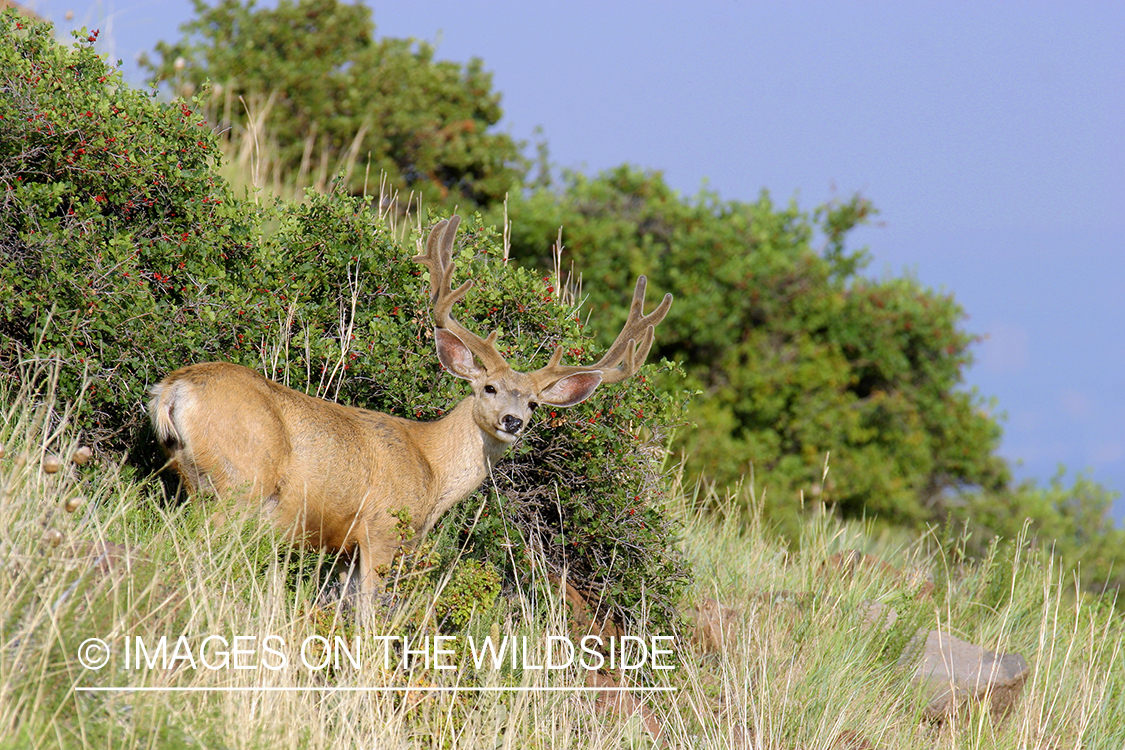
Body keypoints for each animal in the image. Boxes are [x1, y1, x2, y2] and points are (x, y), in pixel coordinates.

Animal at [149, 215, 672, 595]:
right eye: (489, 387)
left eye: (535, 404)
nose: (512, 421)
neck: (432, 468)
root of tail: (175, 388)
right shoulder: (381, 531)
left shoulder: (345, 551)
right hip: (241, 483)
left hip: (193, 479)